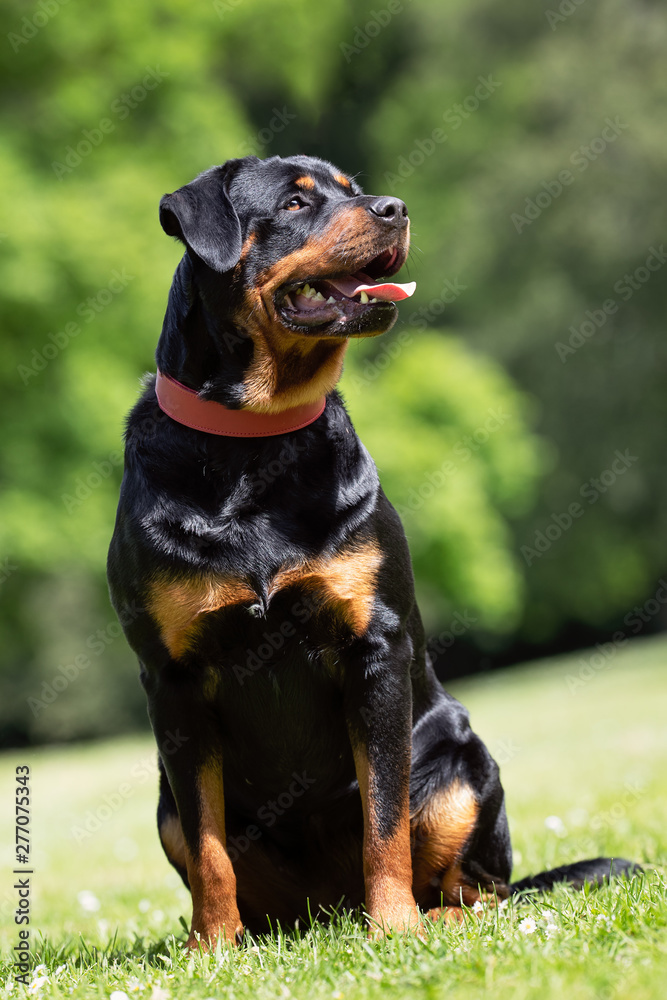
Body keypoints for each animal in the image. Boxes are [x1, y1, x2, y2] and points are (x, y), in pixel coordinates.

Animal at [108, 154, 636, 944]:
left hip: (461, 766)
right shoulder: (172, 676)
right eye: (295, 203)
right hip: (166, 806)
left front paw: (394, 928)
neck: (255, 445)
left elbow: (383, 819)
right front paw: (214, 946)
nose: (394, 207)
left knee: (480, 889)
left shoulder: (374, 648)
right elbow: (208, 847)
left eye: (353, 190)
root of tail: (327, 912)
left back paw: (429, 916)